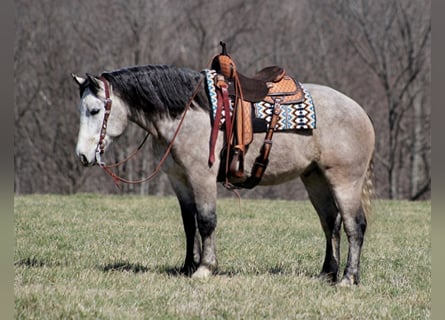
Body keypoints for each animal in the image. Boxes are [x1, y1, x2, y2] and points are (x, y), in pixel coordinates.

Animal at [71, 63, 372, 286]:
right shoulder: (179, 179)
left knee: (354, 225)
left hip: (345, 181)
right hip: (315, 179)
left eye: (95, 110)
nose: (83, 156)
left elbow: (206, 220)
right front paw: (187, 266)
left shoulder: (201, 176)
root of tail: (360, 112)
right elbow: (189, 223)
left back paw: (348, 278)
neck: (188, 113)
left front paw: (205, 268)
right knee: (330, 223)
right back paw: (327, 274)